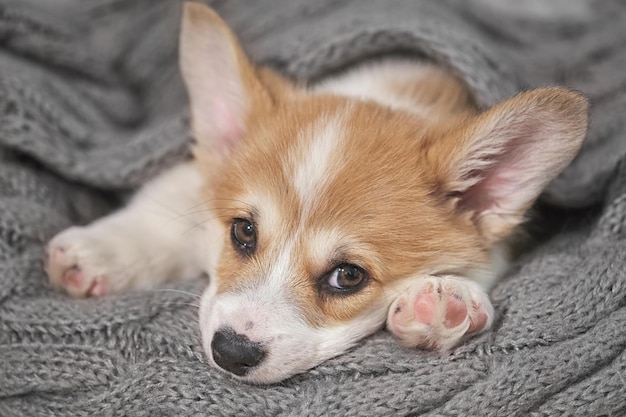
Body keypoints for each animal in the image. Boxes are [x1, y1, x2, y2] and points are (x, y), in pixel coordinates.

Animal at [44, 3, 584, 384]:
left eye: (348, 276)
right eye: (243, 231)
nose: (231, 353)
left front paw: (448, 302)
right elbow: (165, 206)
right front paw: (99, 251)